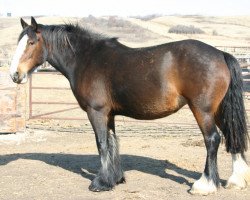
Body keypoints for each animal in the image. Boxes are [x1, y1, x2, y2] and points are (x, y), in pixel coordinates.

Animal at [9, 17, 250, 195]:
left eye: (31, 43)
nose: (15, 75)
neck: (86, 59)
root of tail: (220, 53)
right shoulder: (109, 114)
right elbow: (113, 143)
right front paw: (115, 179)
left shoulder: (96, 112)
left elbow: (101, 144)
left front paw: (100, 183)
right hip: (219, 110)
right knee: (231, 136)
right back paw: (236, 180)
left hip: (202, 110)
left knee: (212, 139)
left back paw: (205, 185)